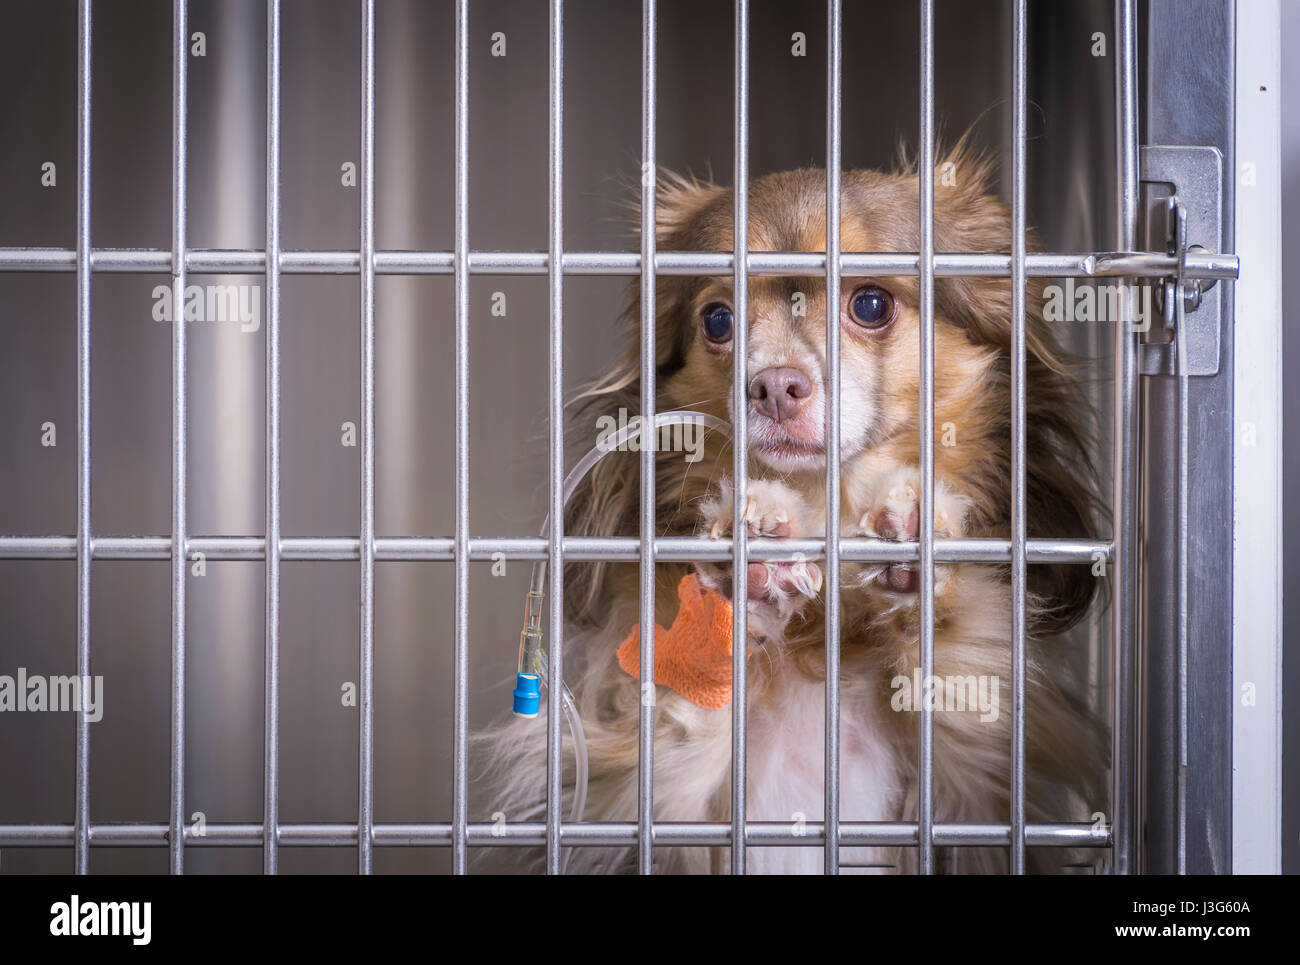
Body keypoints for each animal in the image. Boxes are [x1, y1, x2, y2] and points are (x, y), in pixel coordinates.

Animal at [478, 143, 1107, 879]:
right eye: (718, 320)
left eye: (871, 304)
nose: (775, 385)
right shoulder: (651, 796)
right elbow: (684, 708)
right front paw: (748, 557)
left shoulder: (976, 799)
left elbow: (968, 663)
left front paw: (920, 544)